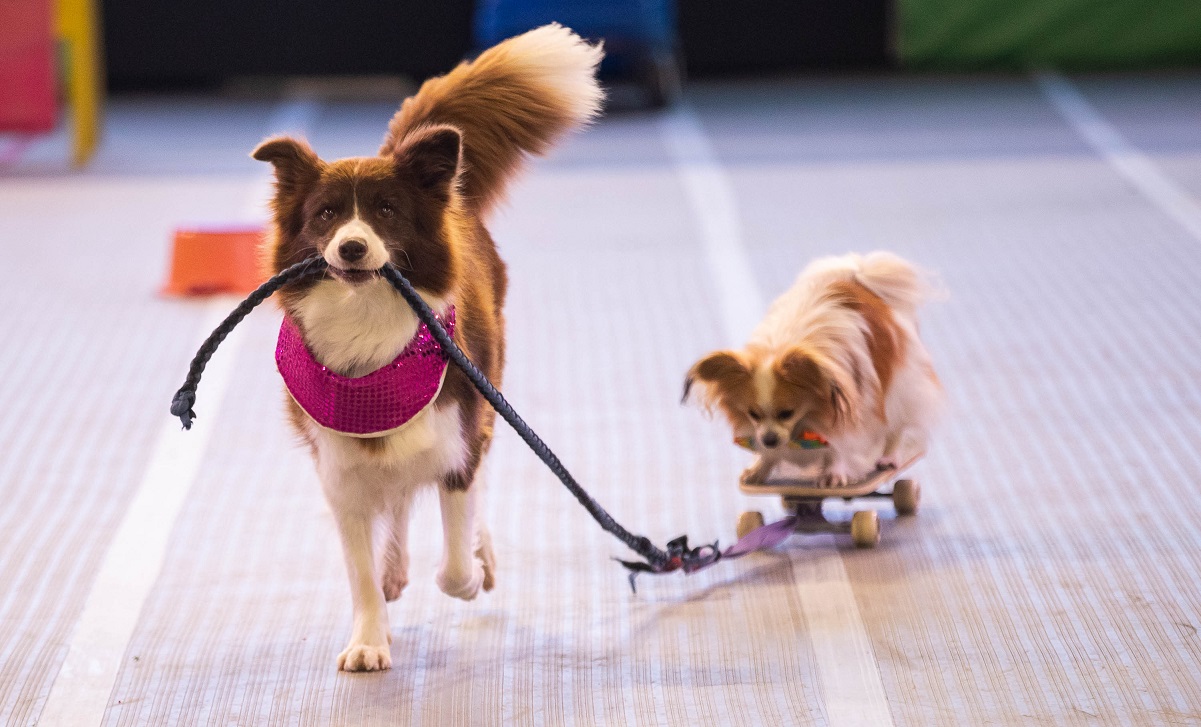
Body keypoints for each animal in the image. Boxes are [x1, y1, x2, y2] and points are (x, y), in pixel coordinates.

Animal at [257, 24, 605, 668]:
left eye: (387, 210)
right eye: (325, 214)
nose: (351, 248)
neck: (369, 327)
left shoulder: (458, 441)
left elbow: (454, 559)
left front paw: (470, 571)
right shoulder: (340, 469)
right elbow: (361, 571)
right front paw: (369, 640)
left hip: (487, 392)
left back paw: (477, 553)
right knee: (395, 504)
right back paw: (395, 569)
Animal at [682, 253, 941, 487]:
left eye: (786, 413)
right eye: (753, 414)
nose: (769, 440)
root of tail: (857, 277)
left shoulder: (850, 413)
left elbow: (839, 445)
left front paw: (834, 473)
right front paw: (760, 466)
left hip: (900, 389)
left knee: (896, 428)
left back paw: (888, 457)